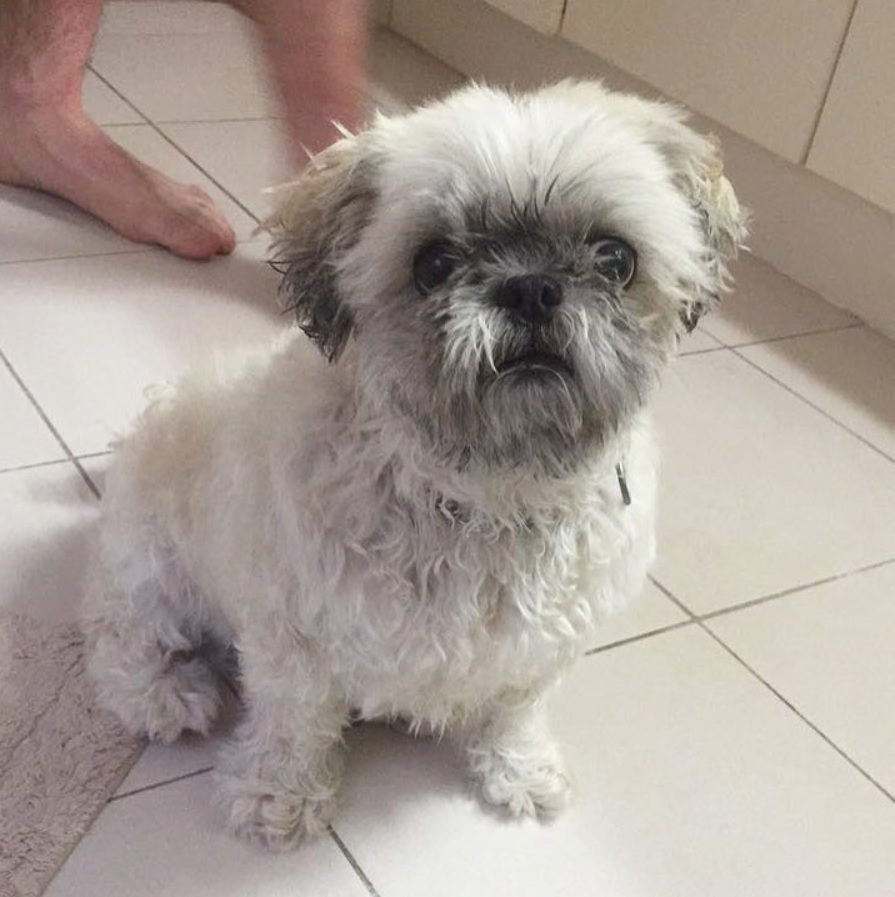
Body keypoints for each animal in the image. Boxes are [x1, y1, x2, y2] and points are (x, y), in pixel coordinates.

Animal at [84, 82, 744, 848]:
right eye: (432, 265)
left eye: (615, 258)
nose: (529, 288)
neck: (487, 492)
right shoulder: (292, 636)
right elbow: (293, 723)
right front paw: (280, 795)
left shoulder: (542, 647)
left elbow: (515, 709)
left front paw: (519, 770)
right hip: (153, 564)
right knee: (118, 635)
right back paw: (164, 691)